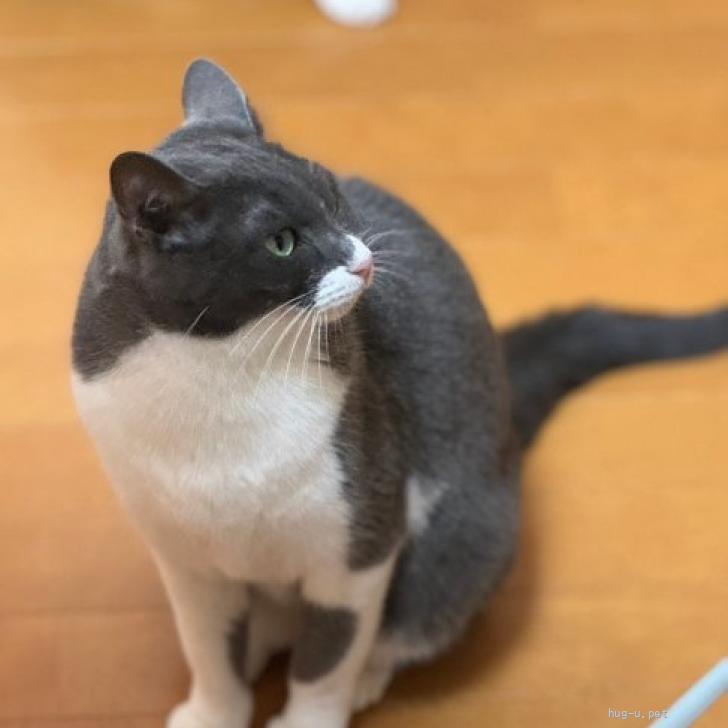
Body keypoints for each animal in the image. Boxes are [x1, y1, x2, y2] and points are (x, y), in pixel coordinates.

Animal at [71, 59, 728, 728]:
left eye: (334, 196)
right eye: (281, 241)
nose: (363, 261)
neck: (221, 373)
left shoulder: (359, 542)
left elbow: (326, 659)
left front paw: (310, 717)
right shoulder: (187, 563)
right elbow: (208, 649)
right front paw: (211, 712)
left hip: (461, 542)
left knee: (405, 626)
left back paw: (366, 674)